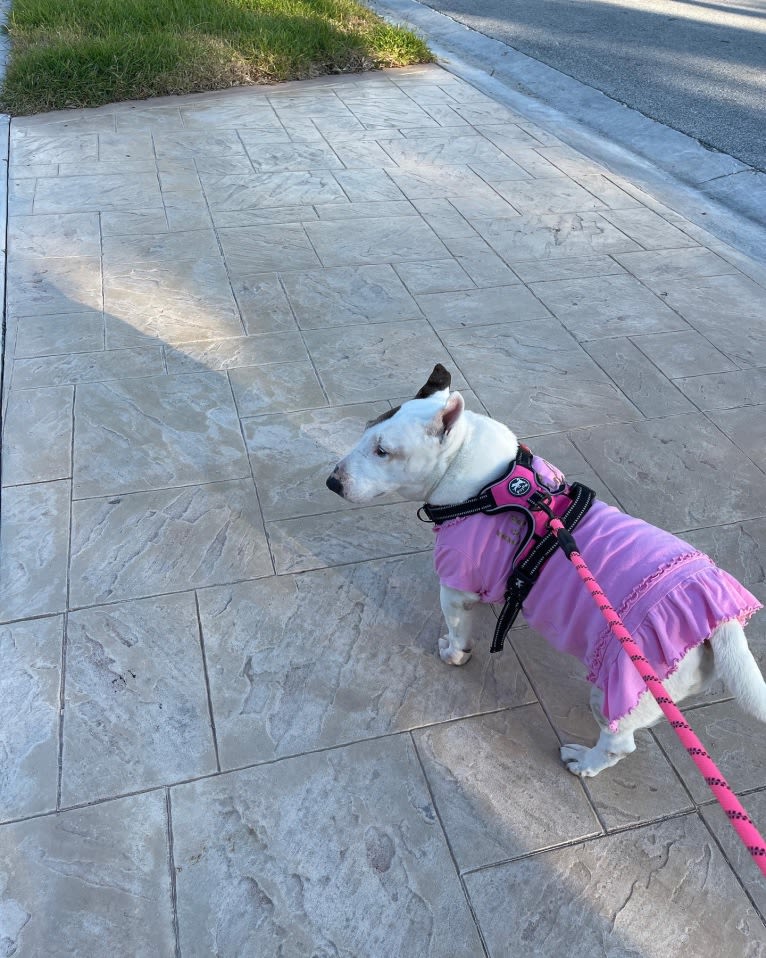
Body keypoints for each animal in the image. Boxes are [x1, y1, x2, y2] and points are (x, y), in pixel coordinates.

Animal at [328, 368, 764, 780]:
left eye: (383, 451)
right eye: (366, 430)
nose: (332, 482)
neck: (485, 482)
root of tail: (721, 624)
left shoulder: (455, 586)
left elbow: (457, 631)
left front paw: (453, 654)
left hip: (627, 685)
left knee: (618, 743)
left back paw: (583, 763)